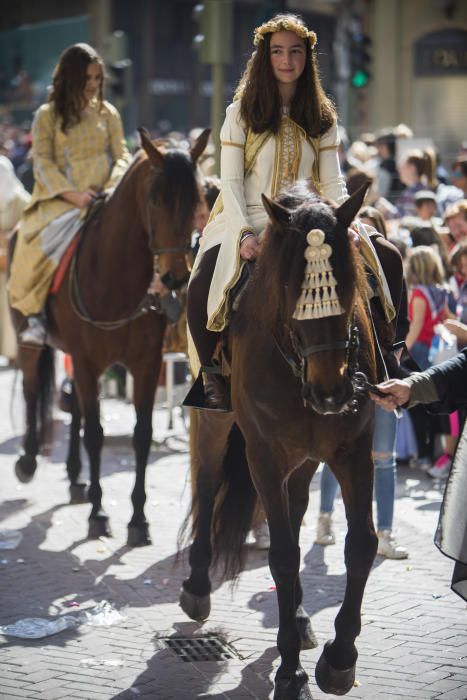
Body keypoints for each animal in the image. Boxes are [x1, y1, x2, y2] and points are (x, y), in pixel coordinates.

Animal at [8, 130, 210, 548]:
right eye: (156, 198)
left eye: (199, 198)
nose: (174, 277)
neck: (115, 275)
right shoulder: (88, 362)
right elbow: (97, 434)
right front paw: (99, 515)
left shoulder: (146, 364)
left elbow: (141, 435)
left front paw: (138, 519)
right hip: (29, 338)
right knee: (35, 390)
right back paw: (29, 461)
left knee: (75, 408)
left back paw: (74, 478)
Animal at [179, 183, 384, 696]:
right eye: (292, 291)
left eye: (350, 284)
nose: (332, 393)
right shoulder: (265, 456)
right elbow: (284, 555)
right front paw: (290, 671)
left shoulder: (353, 451)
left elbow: (361, 544)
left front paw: (339, 659)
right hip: (216, 424)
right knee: (208, 483)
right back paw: (197, 587)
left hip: (307, 456)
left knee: (295, 507)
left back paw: (301, 616)